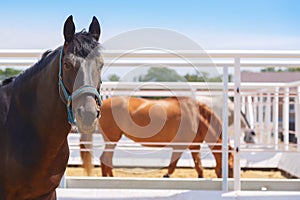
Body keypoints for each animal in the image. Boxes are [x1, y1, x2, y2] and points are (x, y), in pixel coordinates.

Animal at [89, 97, 234, 178]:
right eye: (231, 167)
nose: (231, 178)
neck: (196, 116)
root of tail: (101, 105)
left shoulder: (194, 147)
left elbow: (199, 168)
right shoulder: (179, 147)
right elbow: (172, 166)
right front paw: (166, 175)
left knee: (106, 160)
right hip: (112, 140)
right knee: (105, 159)